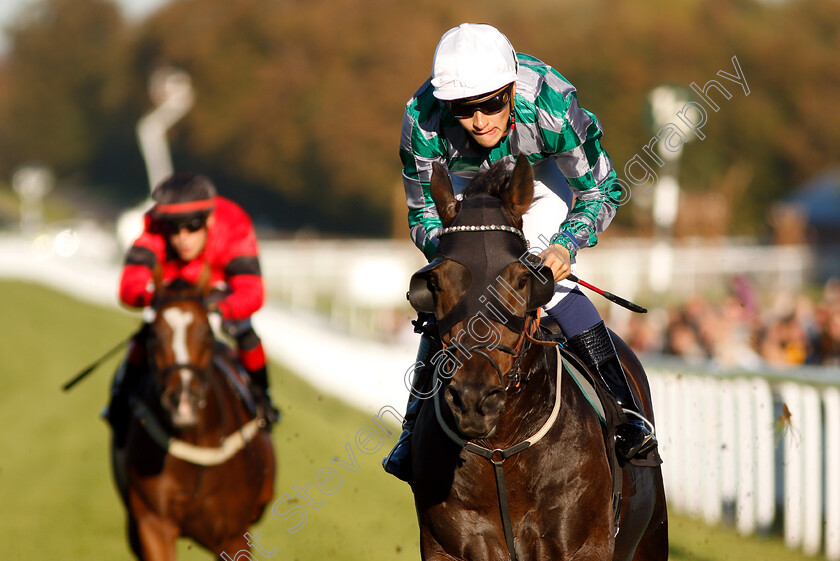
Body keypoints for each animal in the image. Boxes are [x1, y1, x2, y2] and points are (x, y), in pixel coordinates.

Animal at [406, 155, 668, 556]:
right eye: (435, 282)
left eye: (521, 279)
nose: (473, 398)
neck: (501, 450)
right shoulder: (446, 546)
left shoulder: (583, 545)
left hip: (652, 536)